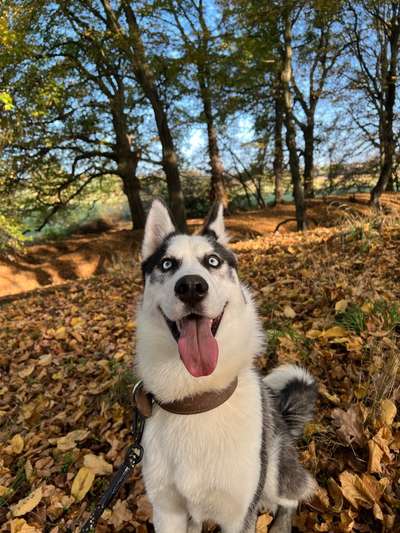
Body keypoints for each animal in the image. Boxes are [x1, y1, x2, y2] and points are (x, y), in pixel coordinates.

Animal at [136, 201, 318, 532]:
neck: (197, 400)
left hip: (273, 471)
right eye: (167, 264)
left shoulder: (238, 515)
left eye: (212, 261)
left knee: (293, 495)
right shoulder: (167, 511)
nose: (191, 286)